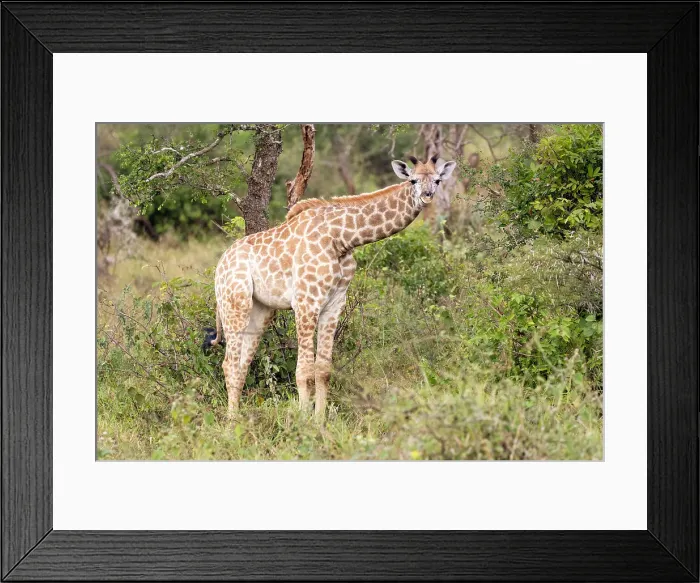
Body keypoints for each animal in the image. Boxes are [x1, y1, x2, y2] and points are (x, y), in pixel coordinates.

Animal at [205, 155, 457, 418]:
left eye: (438, 180)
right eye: (413, 180)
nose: (427, 196)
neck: (341, 239)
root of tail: (220, 265)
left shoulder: (335, 303)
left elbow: (324, 369)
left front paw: (319, 420)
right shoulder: (306, 302)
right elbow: (304, 370)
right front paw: (303, 419)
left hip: (261, 310)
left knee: (242, 363)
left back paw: (238, 417)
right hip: (235, 301)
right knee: (229, 363)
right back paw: (232, 422)